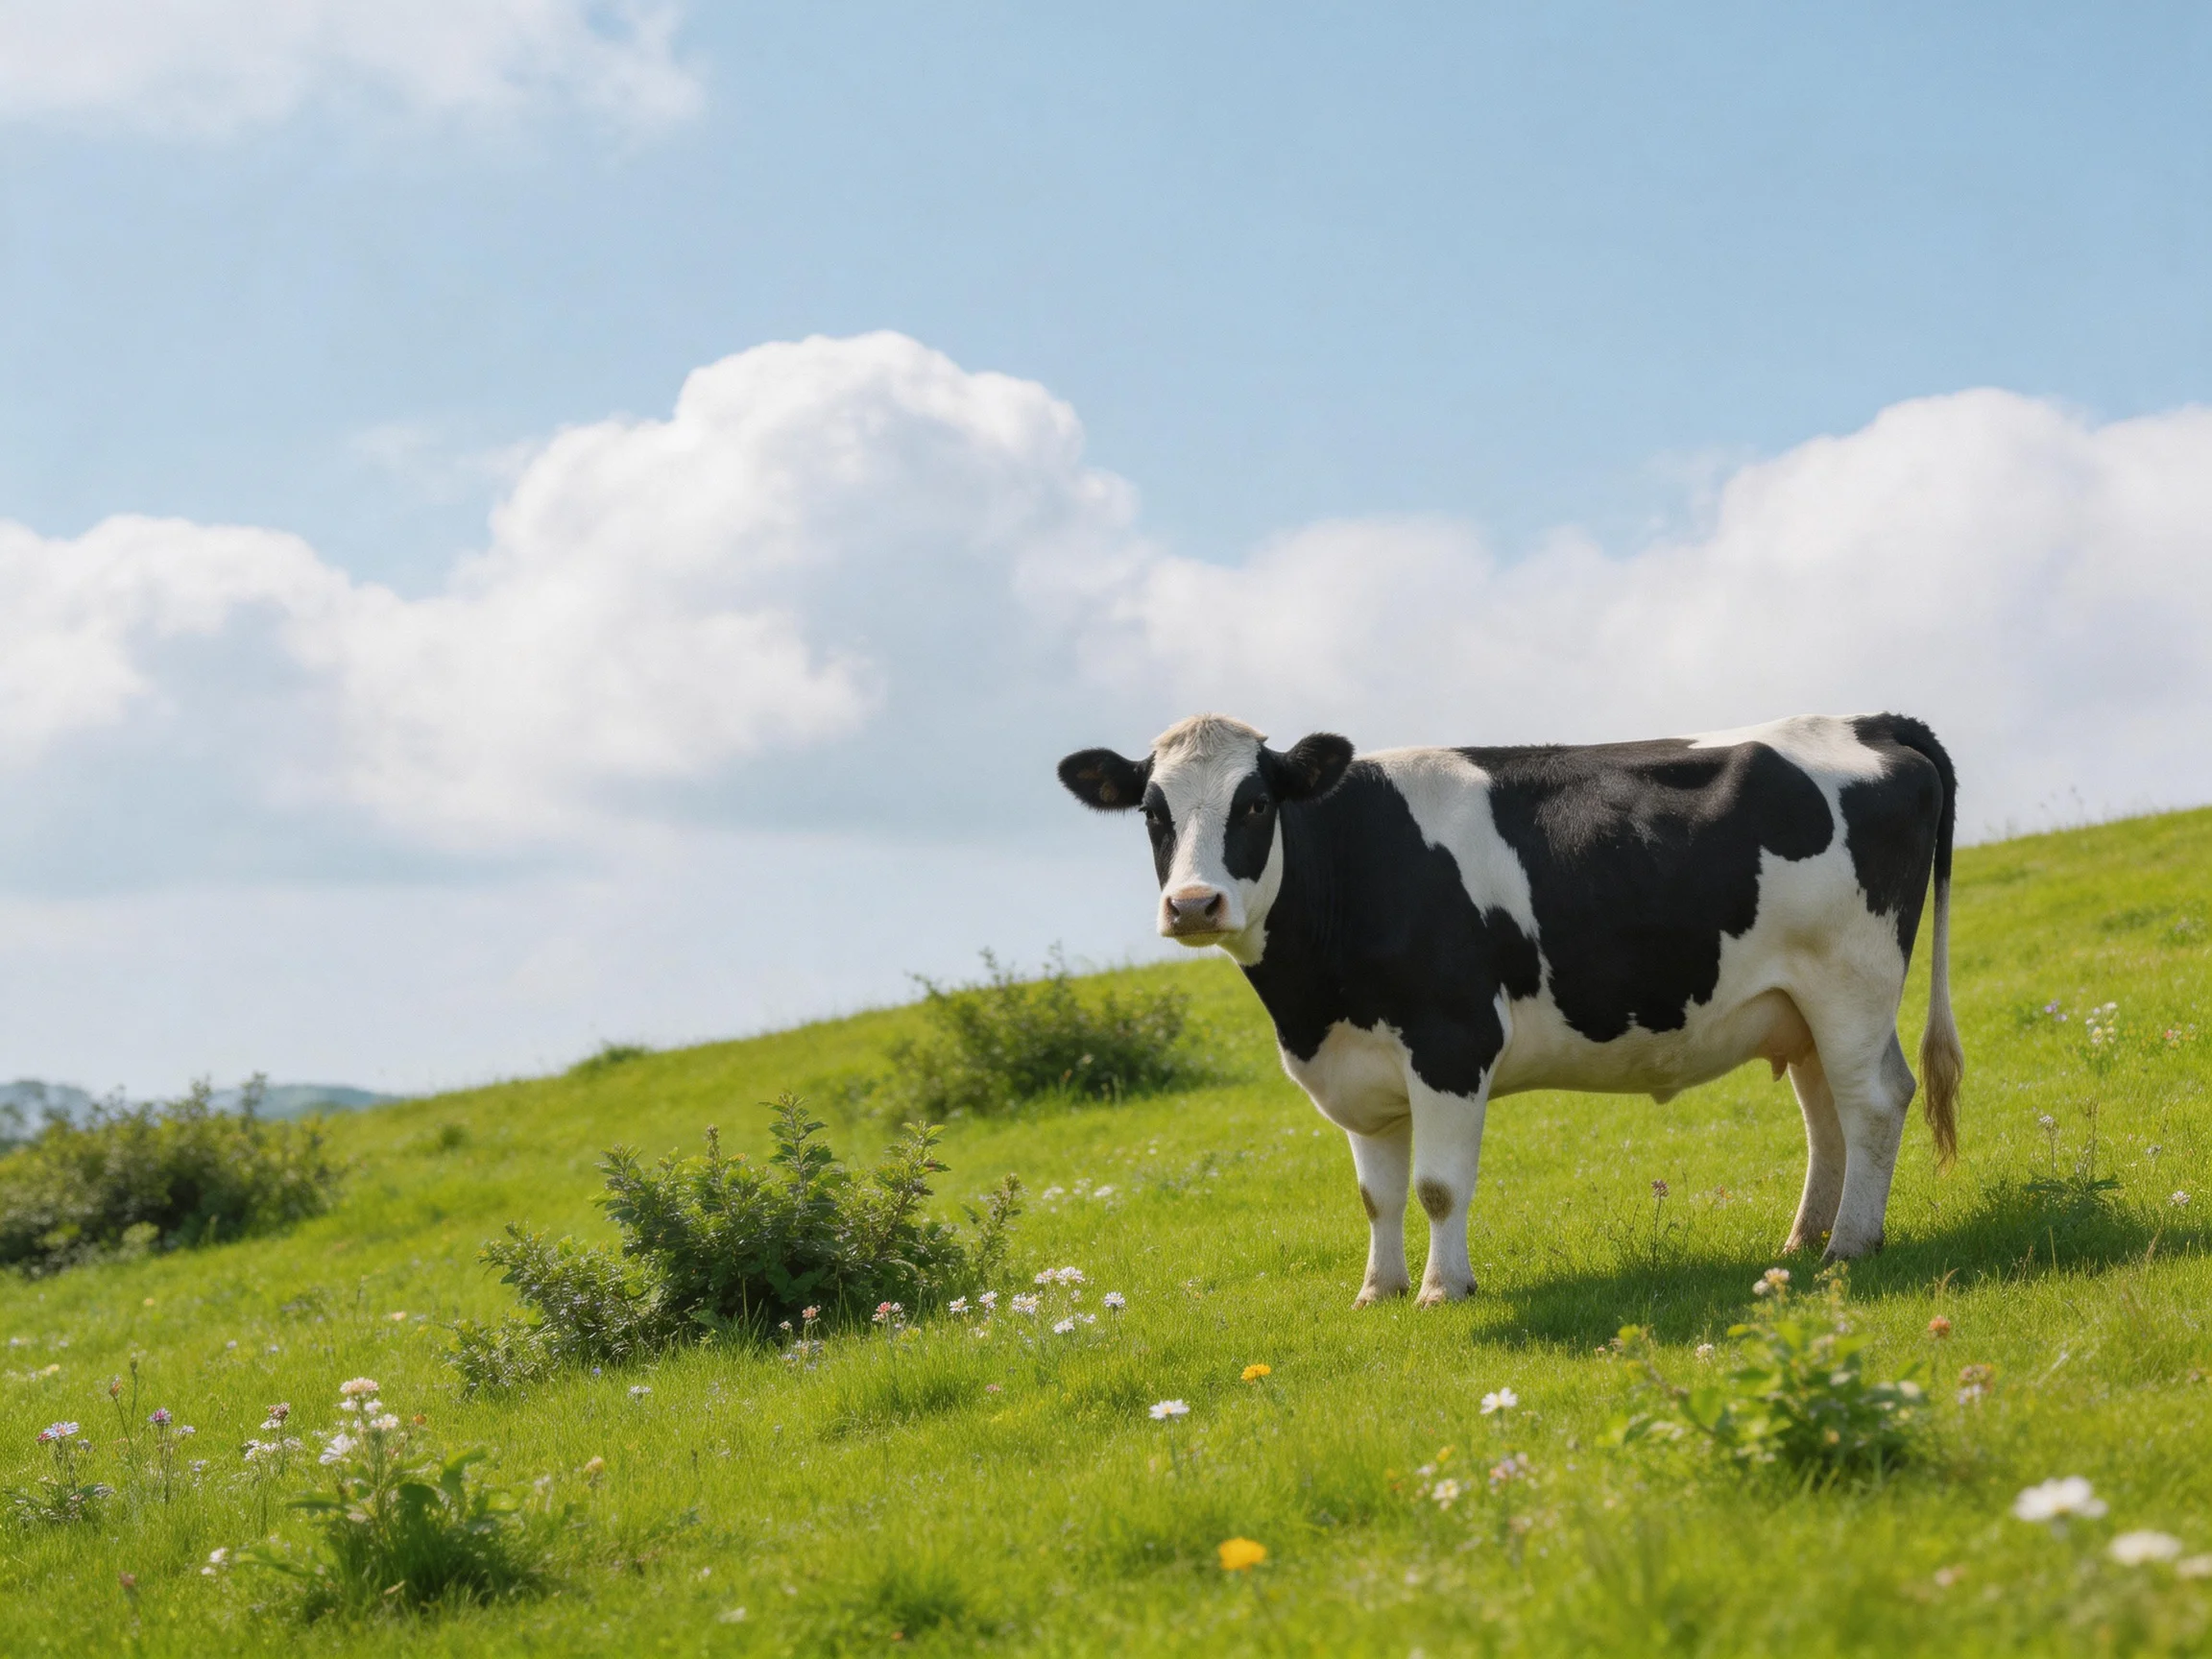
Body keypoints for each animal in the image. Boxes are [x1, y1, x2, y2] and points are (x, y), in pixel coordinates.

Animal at [1057, 713, 1963, 1307]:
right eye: (1152, 813)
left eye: (1253, 804)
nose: (1194, 904)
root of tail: (1862, 720)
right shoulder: (1357, 1067)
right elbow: (1378, 1196)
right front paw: (1377, 1291)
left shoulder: (1451, 1042)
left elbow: (1436, 1187)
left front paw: (1442, 1289)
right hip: (1797, 1003)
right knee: (1827, 1115)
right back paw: (1805, 1239)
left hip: (1851, 978)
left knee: (1875, 1101)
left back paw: (1850, 1244)